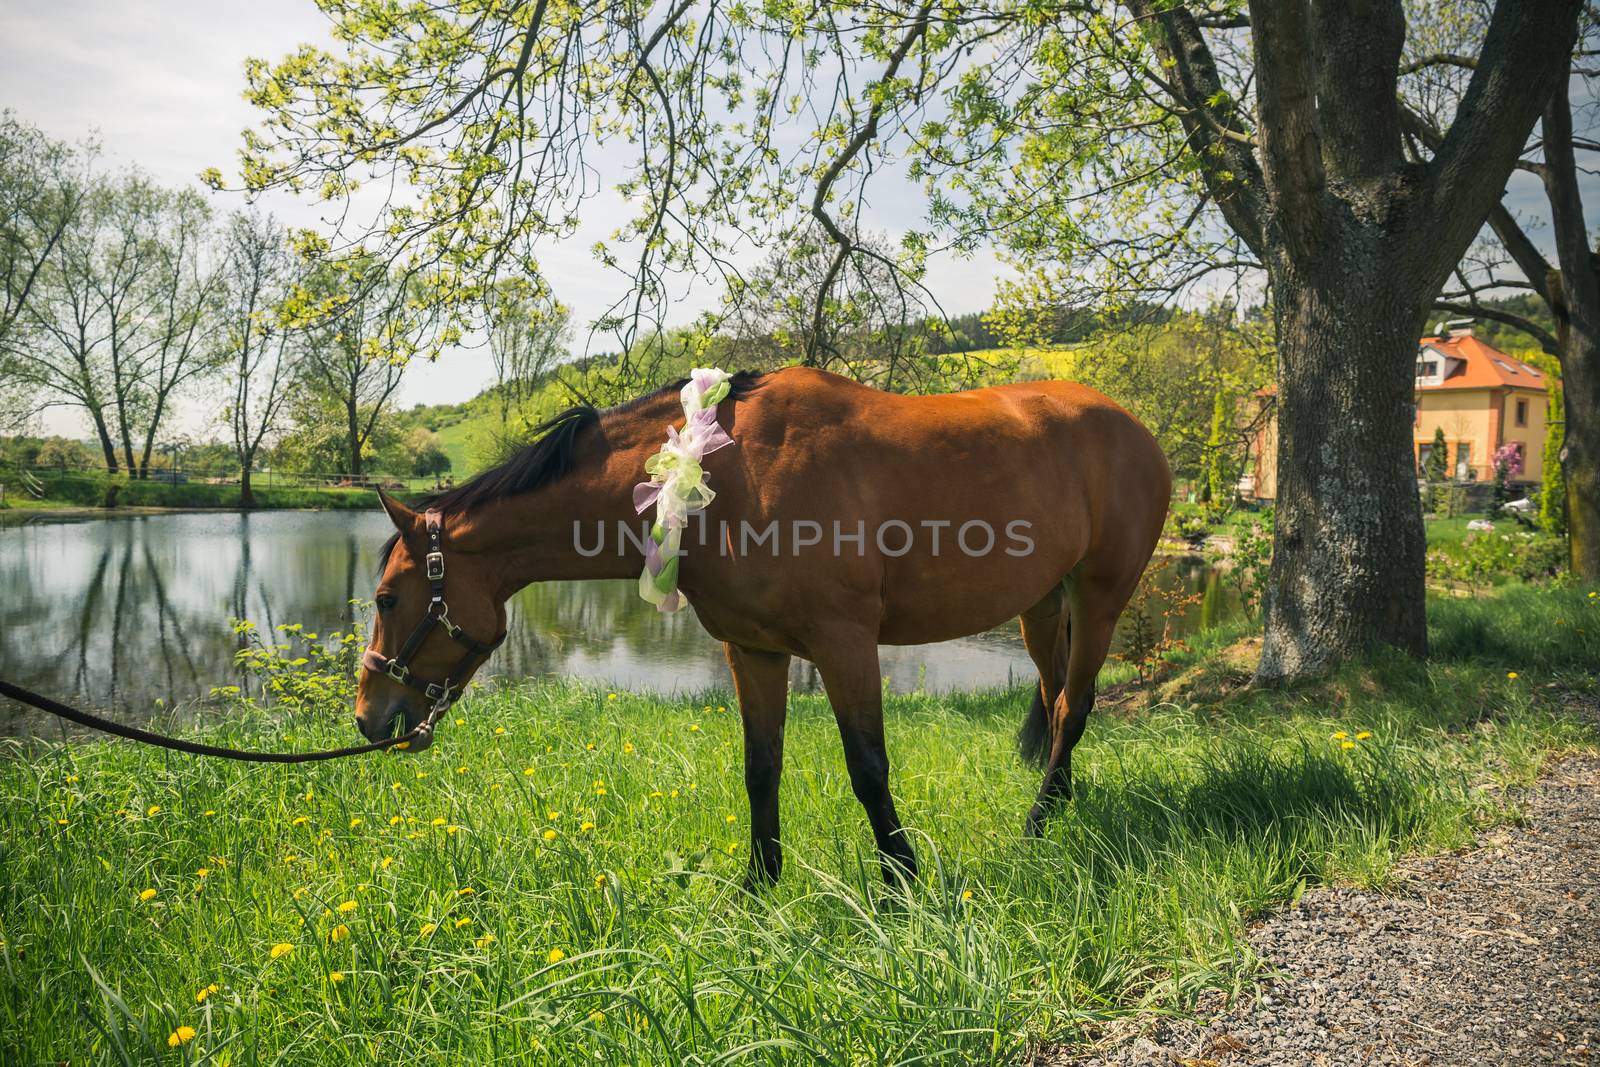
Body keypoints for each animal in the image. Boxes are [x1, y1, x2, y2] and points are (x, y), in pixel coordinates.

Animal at [360, 367, 1164, 883]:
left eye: (388, 599)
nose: (370, 715)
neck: (731, 474)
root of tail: (1134, 427)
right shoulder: (753, 651)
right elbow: (760, 767)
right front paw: (761, 884)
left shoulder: (844, 645)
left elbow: (868, 767)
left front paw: (902, 883)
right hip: (1042, 606)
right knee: (1054, 702)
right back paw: (1054, 809)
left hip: (1100, 598)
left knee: (1075, 706)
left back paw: (1034, 827)